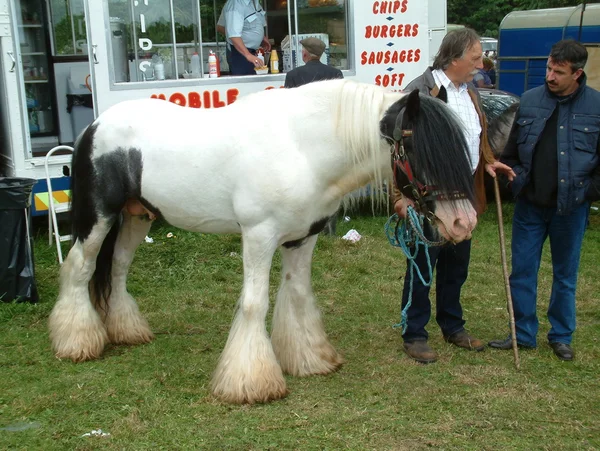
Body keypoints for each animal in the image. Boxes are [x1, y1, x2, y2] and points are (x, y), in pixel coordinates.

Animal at [48, 78, 478, 406]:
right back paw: (76, 343)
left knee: (118, 269)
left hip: (137, 218)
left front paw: (310, 358)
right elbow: (255, 304)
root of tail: (95, 127)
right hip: (98, 218)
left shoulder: (302, 238)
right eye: (419, 149)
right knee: (79, 267)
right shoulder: (258, 236)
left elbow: (298, 296)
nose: (463, 222)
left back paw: (127, 331)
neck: (303, 147)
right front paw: (250, 383)